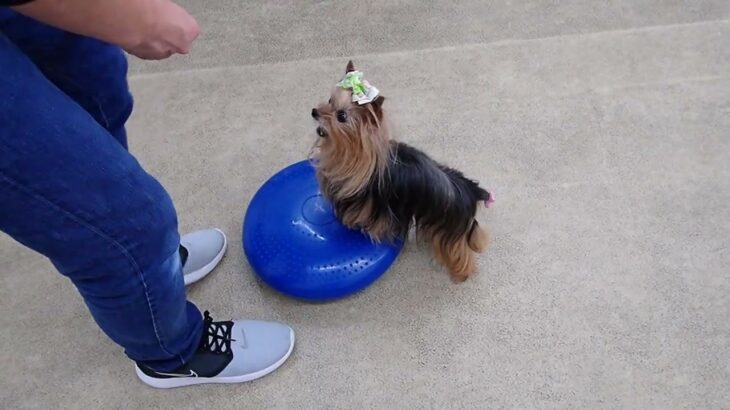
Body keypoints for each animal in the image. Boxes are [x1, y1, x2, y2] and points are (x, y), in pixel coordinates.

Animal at [308, 60, 490, 282]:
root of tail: (472, 190)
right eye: (329, 100)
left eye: (341, 116)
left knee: (459, 251)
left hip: (449, 228)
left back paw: (462, 274)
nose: (315, 111)